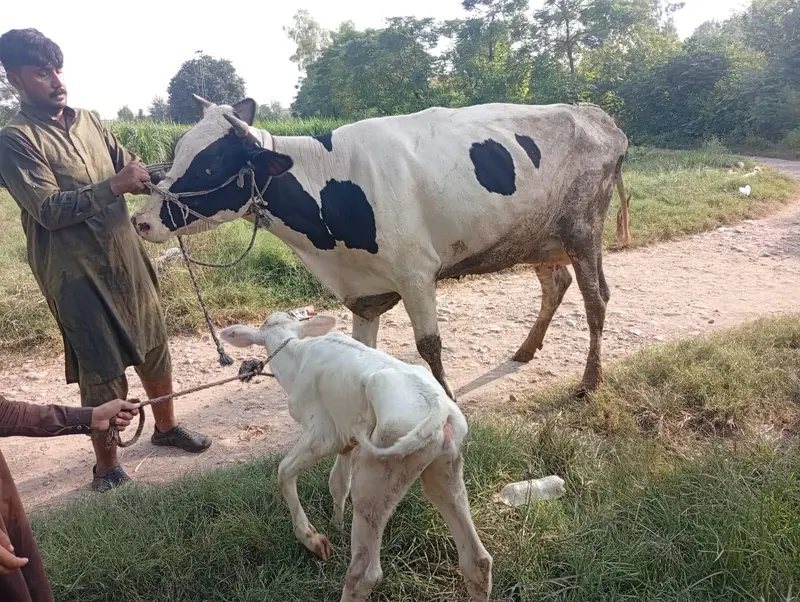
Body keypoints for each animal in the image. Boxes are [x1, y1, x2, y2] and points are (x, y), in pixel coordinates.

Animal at [131, 95, 631, 399]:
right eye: (177, 151)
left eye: (210, 164)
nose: (142, 220)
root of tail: (599, 117)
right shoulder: (364, 291)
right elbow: (363, 350)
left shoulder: (415, 272)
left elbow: (429, 346)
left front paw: (448, 400)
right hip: (536, 237)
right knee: (556, 285)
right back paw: (527, 350)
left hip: (583, 229)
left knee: (597, 300)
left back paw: (590, 381)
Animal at [219, 311, 492, 601]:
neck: (296, 355)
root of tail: (438, 407)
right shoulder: (347, 437)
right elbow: (338, 482)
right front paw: (336, 524)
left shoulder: (324, 433)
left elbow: (284, 471)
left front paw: (314, 539)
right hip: (444, 468)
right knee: (477, 560)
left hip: (377, 474)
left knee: (364, 573)